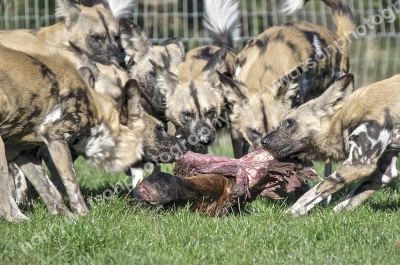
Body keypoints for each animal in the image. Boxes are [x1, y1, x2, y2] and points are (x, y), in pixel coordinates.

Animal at [260, 74, 400, 214]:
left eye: (289, 122)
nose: (263, 141)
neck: (345, 119)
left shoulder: (359, 163)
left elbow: (315, 191)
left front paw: (290, 213)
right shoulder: (385, 171)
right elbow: (351, 198)